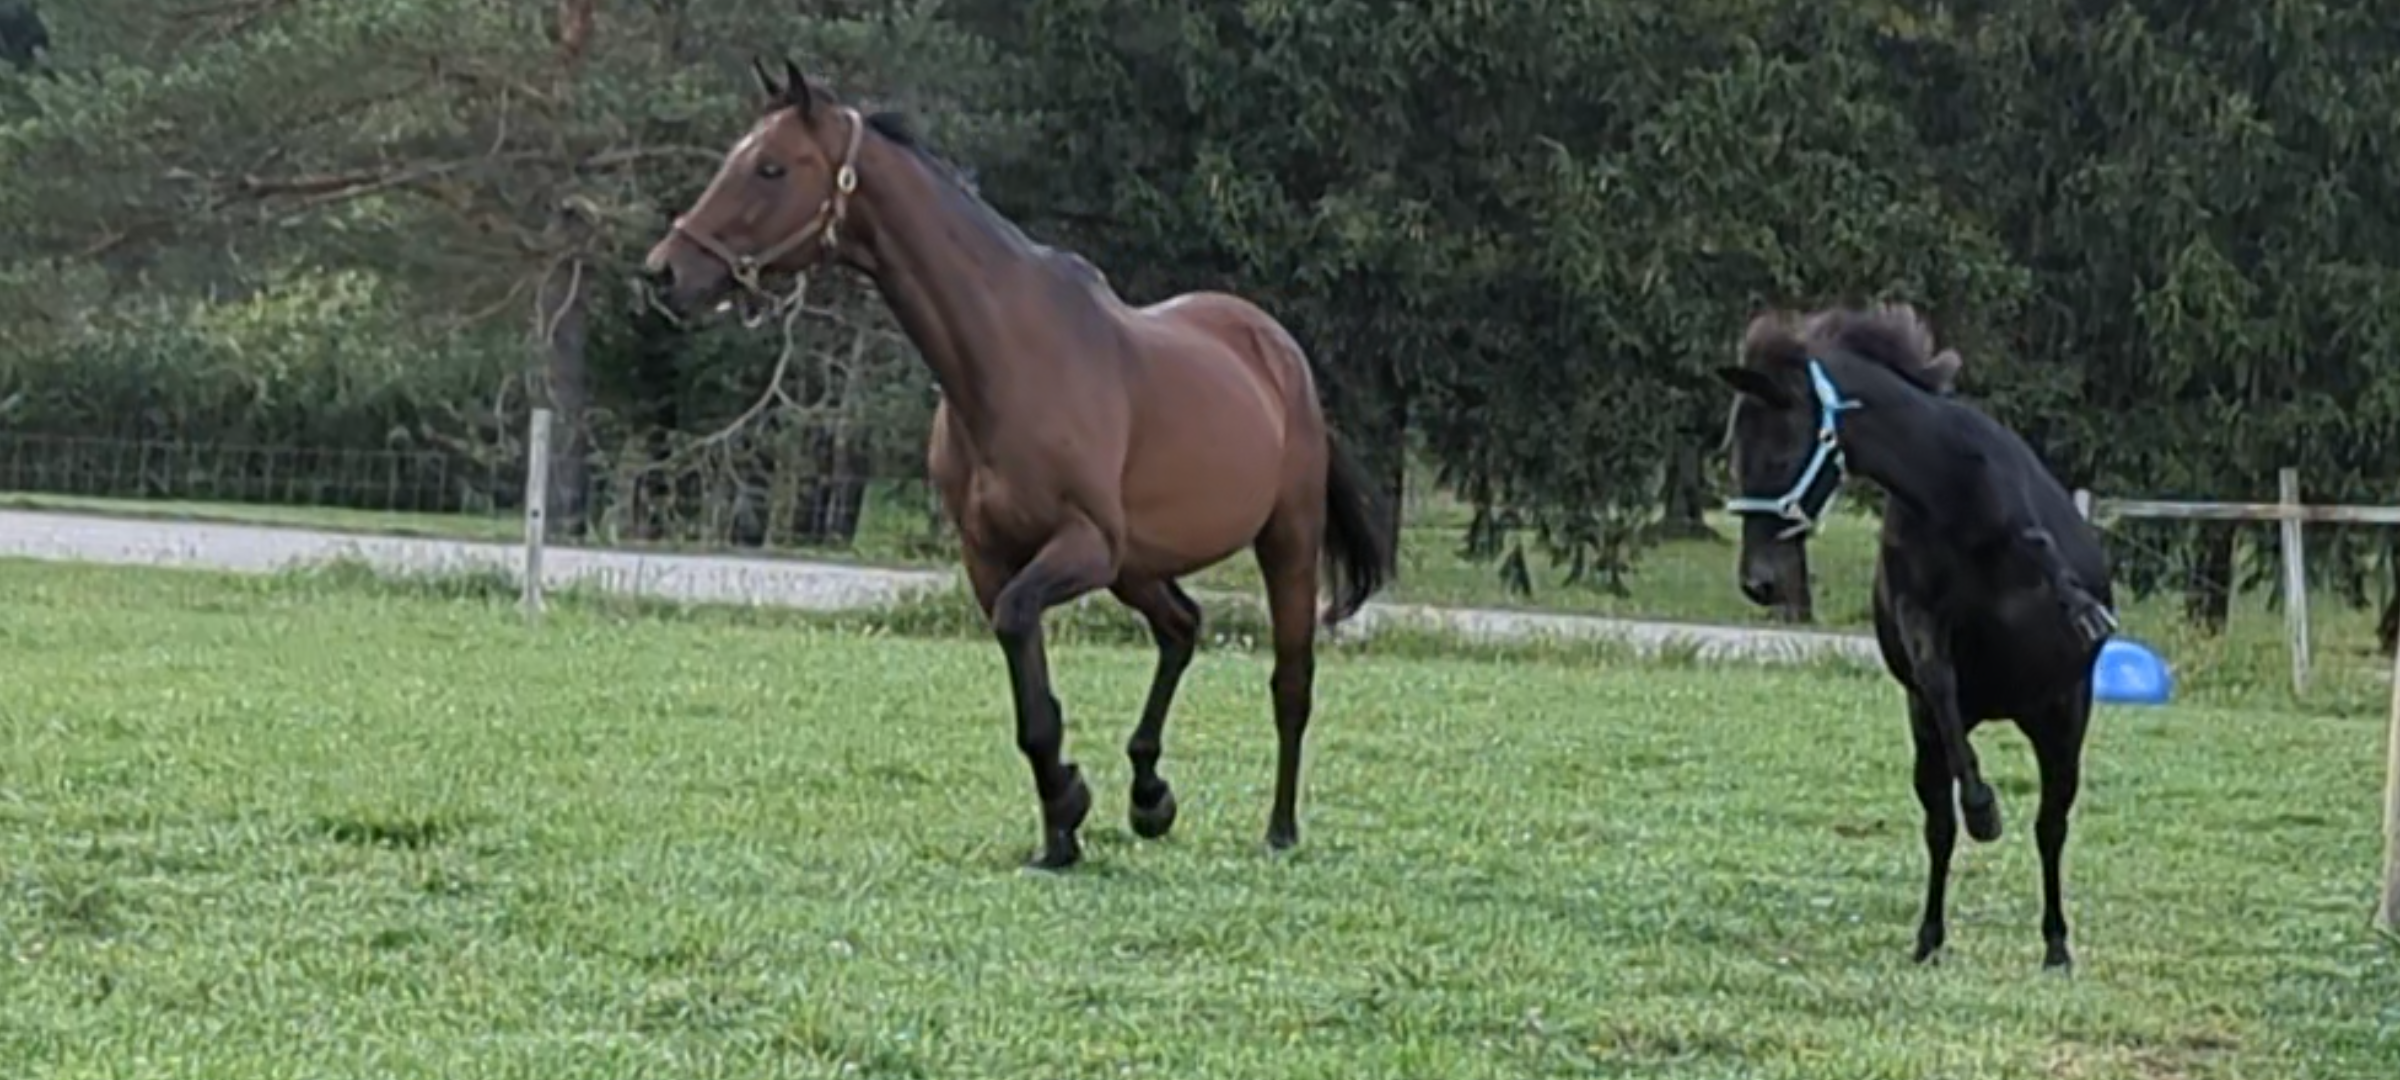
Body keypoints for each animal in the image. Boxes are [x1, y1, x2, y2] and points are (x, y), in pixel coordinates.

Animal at [638, 60, 1396, 872]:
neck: (1006, 359)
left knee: (1290, 682)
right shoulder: (993, 557)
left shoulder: (1080, 547)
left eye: (771, 167)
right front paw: (1061, 830)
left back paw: (1279, 830)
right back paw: (1149, 796)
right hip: (1138, 565)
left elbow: (1021, 634)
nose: (663, 272)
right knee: (1182, 628)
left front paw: (1069, 800)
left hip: (1280, 541)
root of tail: (1278, 353)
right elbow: (1030, 694)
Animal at [1714, 303, 2118, 971]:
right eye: (1734, 460)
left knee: (2050, 827)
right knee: (1940, 826)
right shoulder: (1921, 628)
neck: (1947, 492)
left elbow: (2043, 555)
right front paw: (1982, 807)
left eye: (1777, 455)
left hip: (2058, 725)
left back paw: (2057, 944)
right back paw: (1930, 934)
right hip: (1930, 739)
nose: (1758, 583)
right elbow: (1936, 679)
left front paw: (2081, 605)